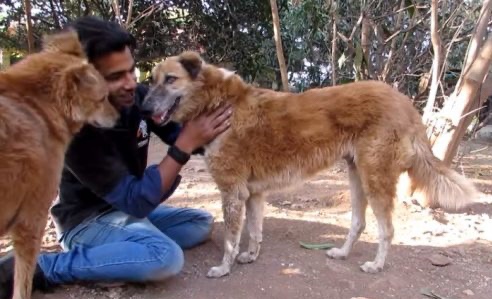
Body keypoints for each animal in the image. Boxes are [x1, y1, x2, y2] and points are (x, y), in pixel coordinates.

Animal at [141, 51, 476, 278]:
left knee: (386, 230)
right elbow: (254, 231)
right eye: (152, 81)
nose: (142, 108)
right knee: (359, 222)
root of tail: (404, 102)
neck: (218, 102)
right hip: (357, 175)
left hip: (375, 179)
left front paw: (224, 268)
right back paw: (342, 253)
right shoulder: (253, 194)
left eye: (170, 80)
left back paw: (376, 265)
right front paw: (250, 256)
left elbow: (230, 239)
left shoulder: (232, 192)